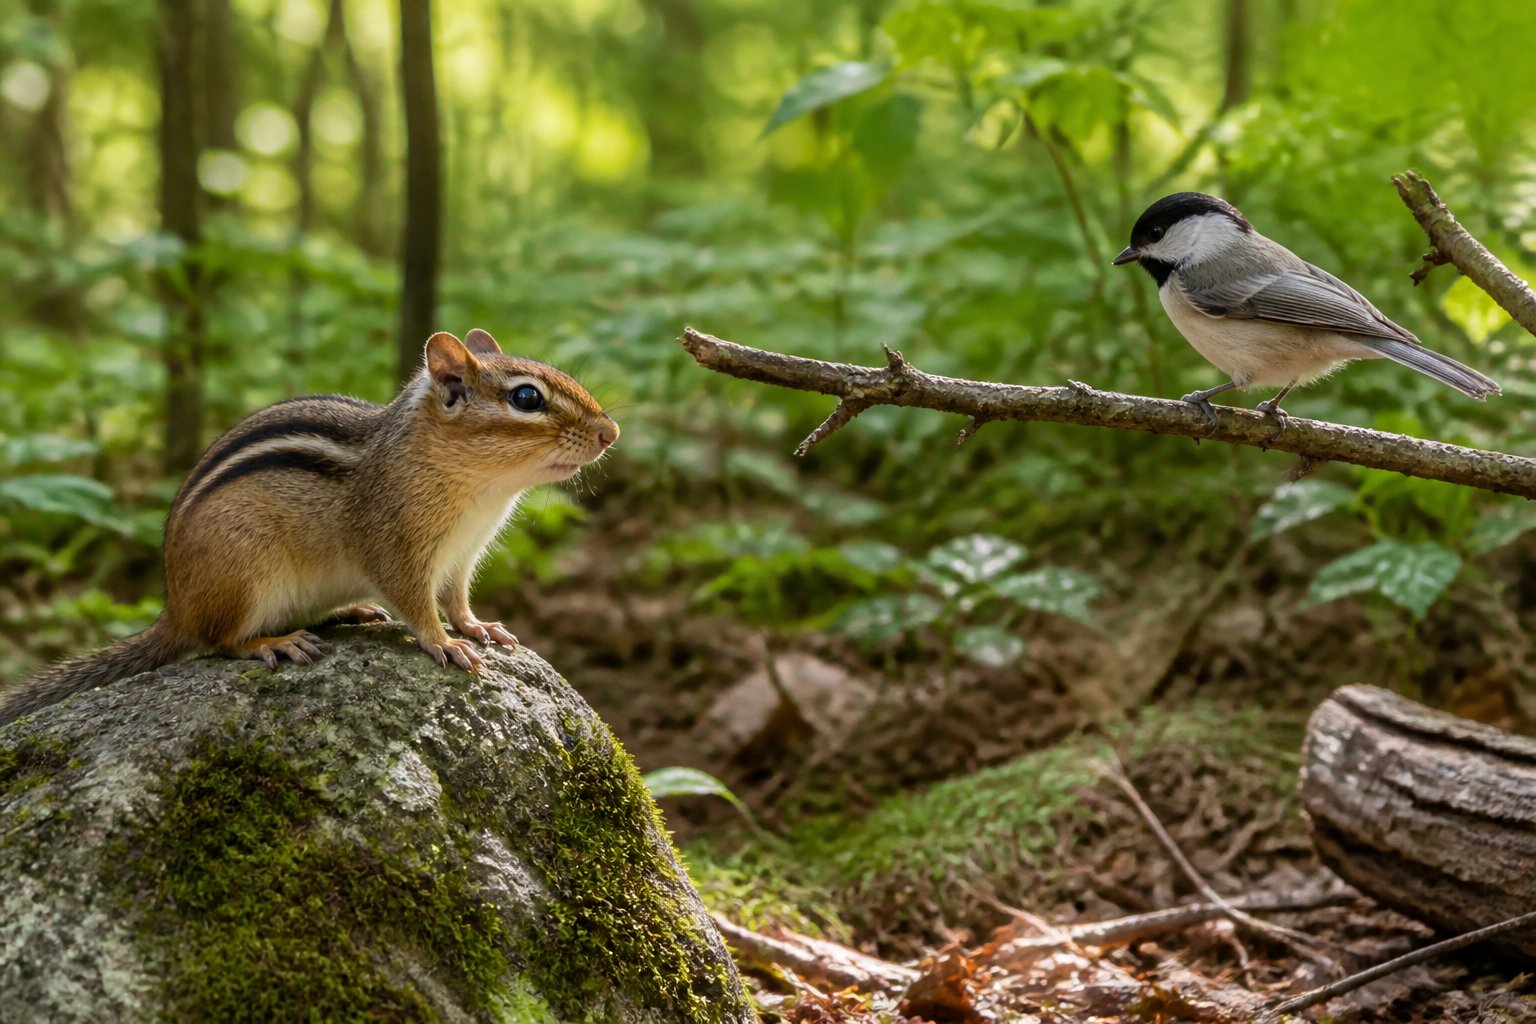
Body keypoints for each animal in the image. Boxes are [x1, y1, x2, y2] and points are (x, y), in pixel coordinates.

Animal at [0, 328, 618, 726]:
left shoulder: (462, 557)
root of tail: (175, 608)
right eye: (526, 397)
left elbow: (457, 599)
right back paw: (274, 642)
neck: (482, 492)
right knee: (217, 641)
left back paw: (349, 612)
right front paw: (444, 642)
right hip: (245, 574)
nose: (611, 432)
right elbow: (417, 604)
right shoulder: (394, 548)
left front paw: (476, 626)